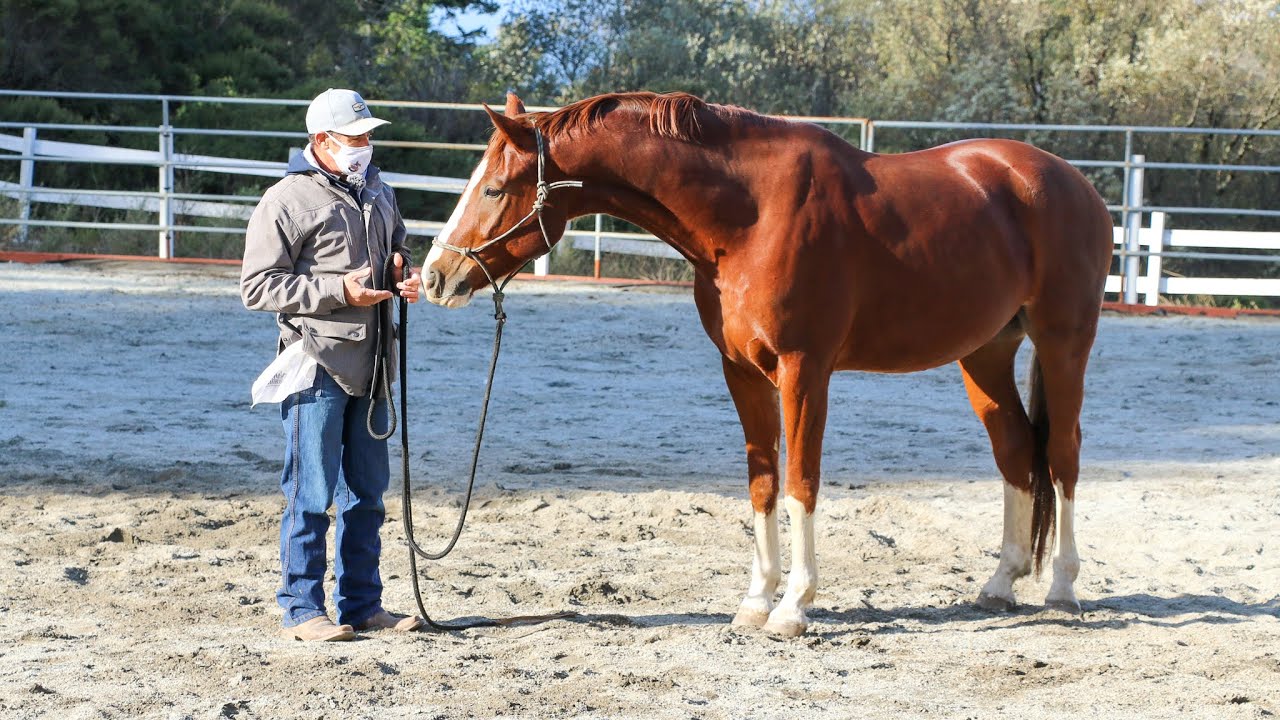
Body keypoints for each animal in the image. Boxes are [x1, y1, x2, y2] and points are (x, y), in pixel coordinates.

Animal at [423, 91, 1113, 637]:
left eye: (494, 188)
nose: (433, 276)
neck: (751, 215)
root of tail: (1071, 182)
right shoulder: (741, 371)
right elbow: (763, 482)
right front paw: (756, 600)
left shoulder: (803, 370)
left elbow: (802, 481)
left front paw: (793, 607)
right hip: (985, 354)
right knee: (1016, 450)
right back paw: (1000, 584)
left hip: (1064, 342)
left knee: (1063, 455)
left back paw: (1062, 589)